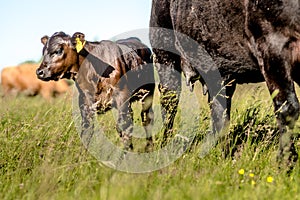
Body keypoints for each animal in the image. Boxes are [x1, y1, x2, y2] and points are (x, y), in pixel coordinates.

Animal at [150, 0, 300, 166]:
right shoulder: (271, 46)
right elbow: (287, 108)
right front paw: (285, 163)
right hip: (164, 55)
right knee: (169, 105)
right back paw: (164, 147)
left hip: (219, 74)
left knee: (220, 114)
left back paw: (221, 154)